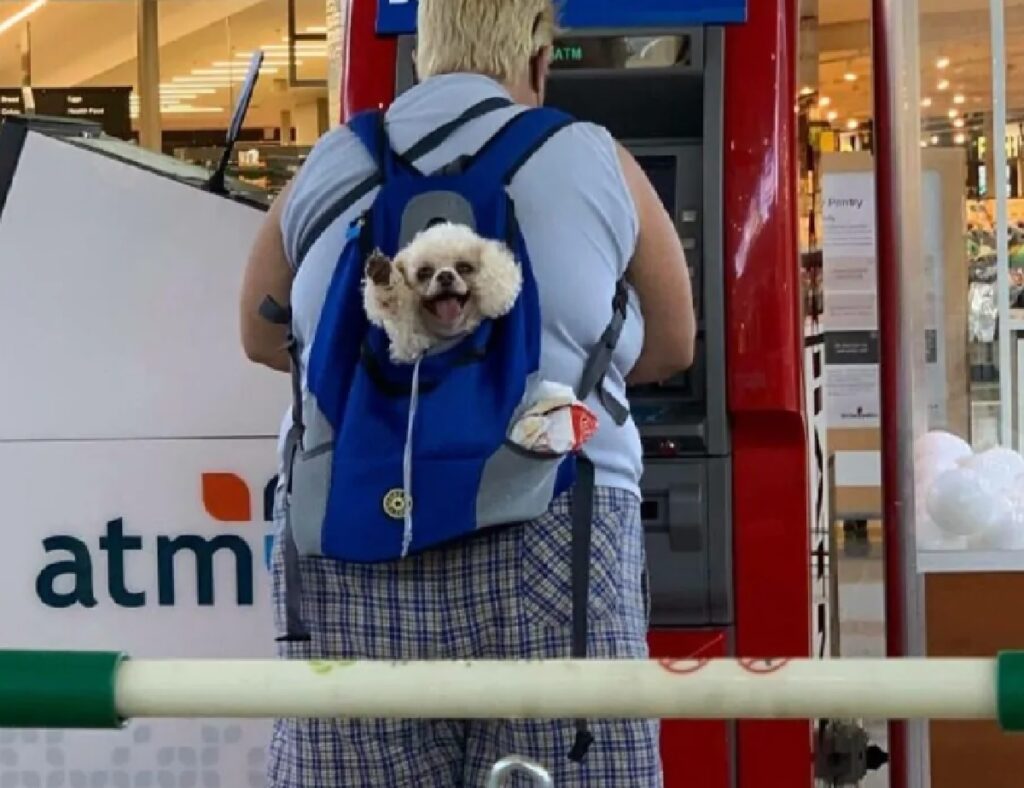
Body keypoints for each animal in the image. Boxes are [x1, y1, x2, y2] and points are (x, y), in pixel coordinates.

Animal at [364, 221, 524, 362]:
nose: (445, 276)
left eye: (465, 267)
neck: (448, 334)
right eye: (424, 272)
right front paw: (385, 277)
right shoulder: (410, 345)